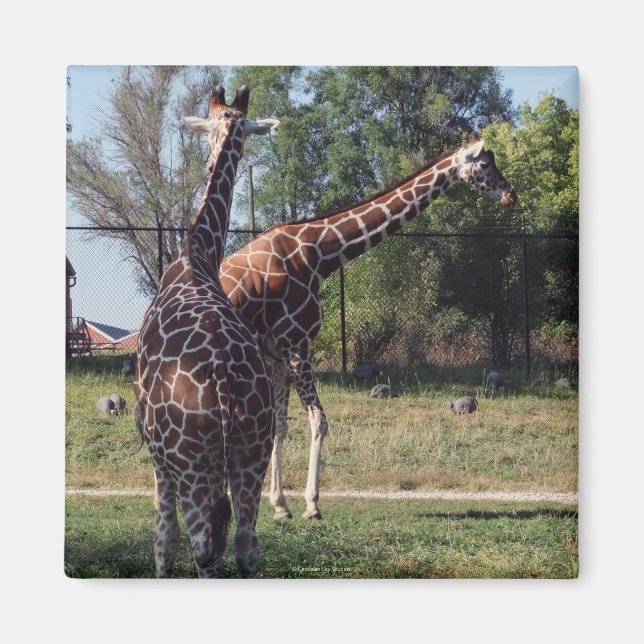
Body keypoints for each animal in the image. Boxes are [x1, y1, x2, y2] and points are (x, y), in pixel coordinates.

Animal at [134, 85, 278, 578]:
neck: (194, 255)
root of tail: (226, 385)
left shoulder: (157, 453)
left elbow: (163, 541)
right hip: (254, 450)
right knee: (246, 544)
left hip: (193, 461)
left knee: (202, 548)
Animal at [219, 134, 516, 520]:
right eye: (484, 165)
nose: (511, 194)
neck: (318, 256)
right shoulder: (298, 344)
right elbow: (319, 420)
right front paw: (311, 505)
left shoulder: (278, 355)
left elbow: (279, 427)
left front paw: (280, 505)